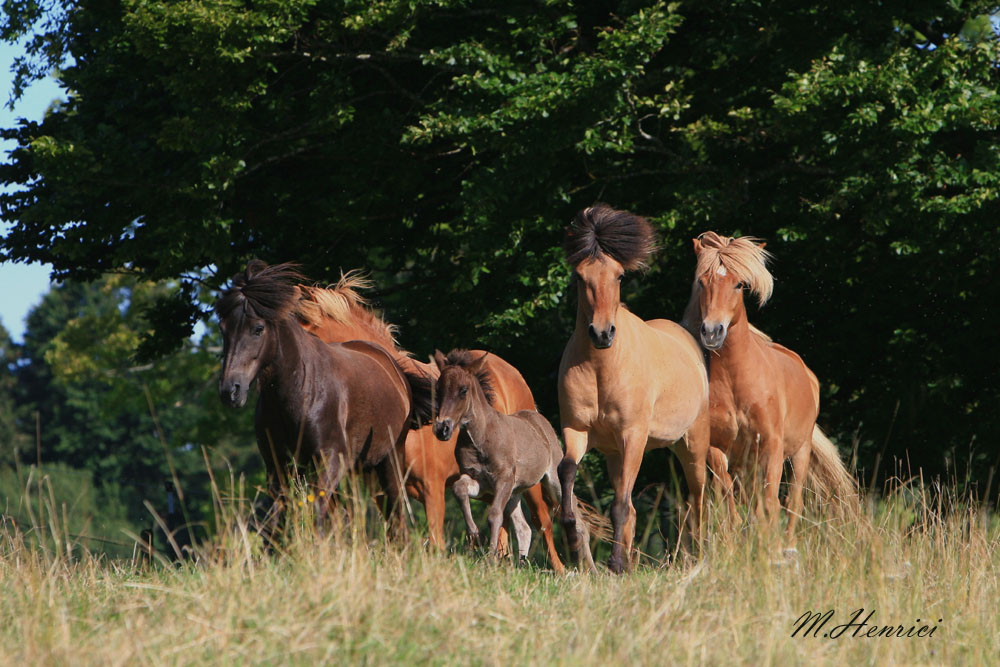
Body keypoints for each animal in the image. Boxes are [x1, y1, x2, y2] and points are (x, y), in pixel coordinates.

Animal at [217, 264, 428, 536]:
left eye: (258, 329)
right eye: (223, 329)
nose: (230, 390)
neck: (299, 392)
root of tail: (394, 368)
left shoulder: (328, 461)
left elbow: (316, 511)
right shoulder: (278, 467)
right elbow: (279, 520)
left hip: (389, 461)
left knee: (396, 518)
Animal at [292, 272, 568, 568]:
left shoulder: (432, 489)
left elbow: (435, 542)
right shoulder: (381, 490)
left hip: (532, 480)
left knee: (542, 521)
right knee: (507, 522)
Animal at [560, 205, 716, 576]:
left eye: (618, 276)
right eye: (579, 277)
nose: (602, 333)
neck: (601, 367)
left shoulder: (633, 436)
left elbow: (619, 505)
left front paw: (616, 564)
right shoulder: (576, 429)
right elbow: (567, 471)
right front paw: (572, 537)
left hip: (692, 445)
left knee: (698, 499)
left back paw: (697, 557)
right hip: (615, 454)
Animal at [684, 232, 856, 540]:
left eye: (739, 284)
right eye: (702, 282)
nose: (712, 332)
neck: (736, 381)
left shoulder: (771, 446)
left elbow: (771, 502)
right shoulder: (719, 449)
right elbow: (731, 502)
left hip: (800, 453)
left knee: (793, 501)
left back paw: (786, 545)